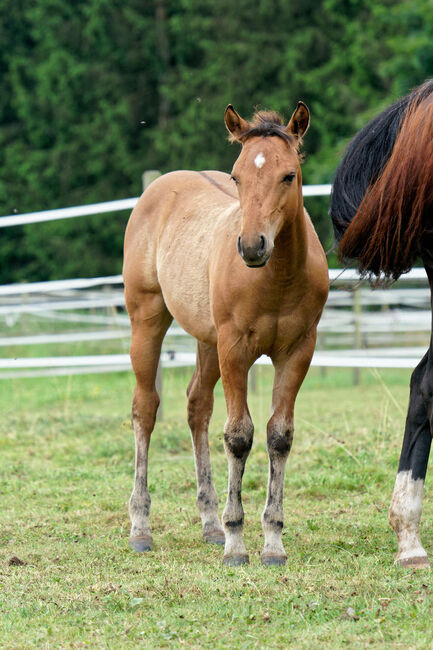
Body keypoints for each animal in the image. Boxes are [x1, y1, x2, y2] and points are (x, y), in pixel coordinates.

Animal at [123, 102, 328, 566]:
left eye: (288, 175)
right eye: (237, 176)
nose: (252, 246)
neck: (276, 278)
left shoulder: (298, 352)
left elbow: (278, 436)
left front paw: (272, 542)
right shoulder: (235, 349)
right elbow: (238, 436)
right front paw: (237, 543)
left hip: (206, 341)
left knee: (197, 406)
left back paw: (210, 522)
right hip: (147, 319)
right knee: (145, 409)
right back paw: (141, 526)